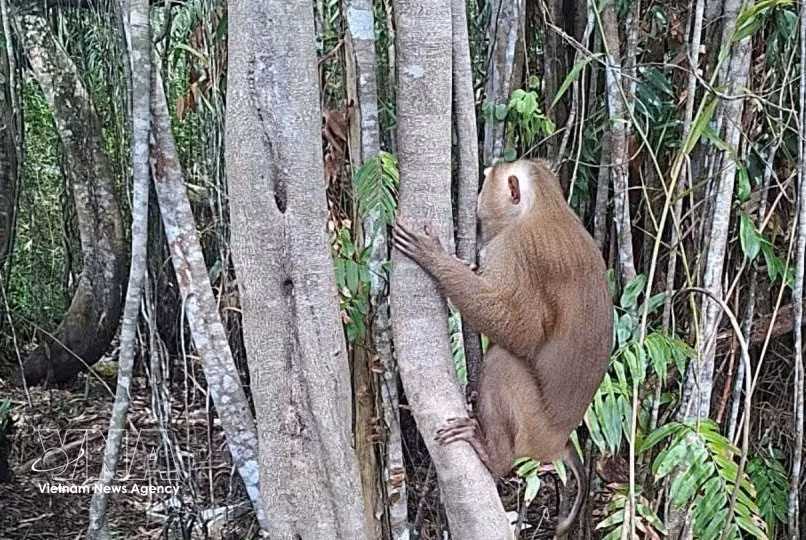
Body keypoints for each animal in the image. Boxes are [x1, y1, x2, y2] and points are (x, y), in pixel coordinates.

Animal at [393, 159, 613, 538]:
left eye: (486, 185)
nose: (477, 201)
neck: (545, 207)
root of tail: (559, 442)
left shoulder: (516, 249)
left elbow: (521, 330)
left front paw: (435, 257)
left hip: (534, 430)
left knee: (502, 363)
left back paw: (493, 456)